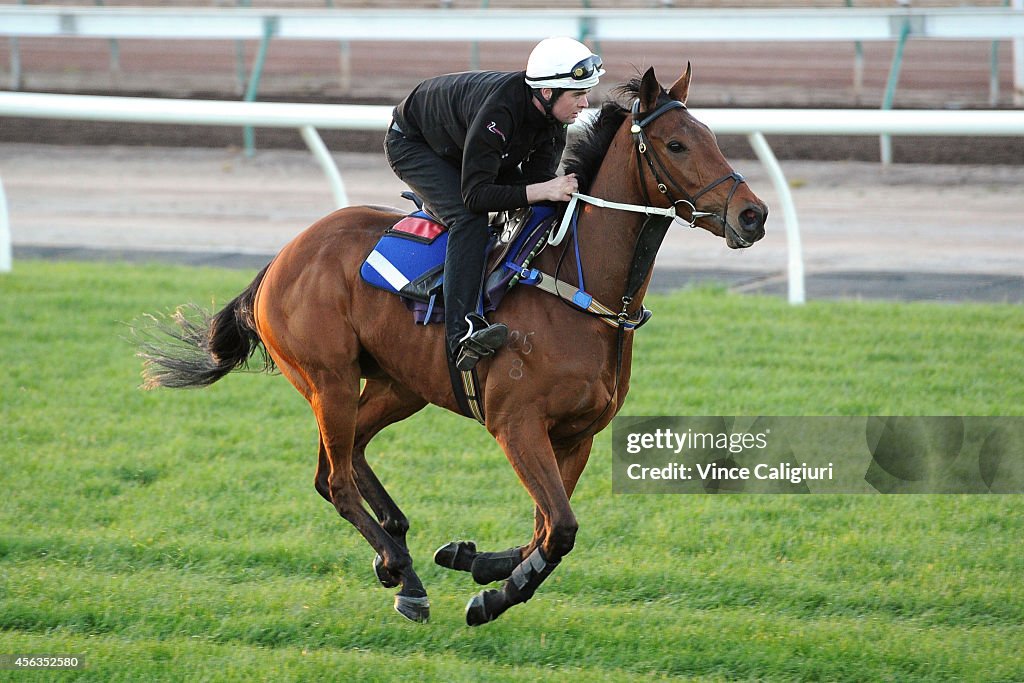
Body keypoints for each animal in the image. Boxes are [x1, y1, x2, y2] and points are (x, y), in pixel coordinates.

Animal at [142, 66, 770, 626]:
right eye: (676, 144)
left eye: (713, 138)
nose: (754, 215)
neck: (578, 291)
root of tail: (280, 258)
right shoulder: (516, 424)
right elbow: (561, 529)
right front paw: (492, 597)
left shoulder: (577, 436)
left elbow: (545, 529)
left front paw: (477, 562)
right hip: (328, 379)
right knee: (336, 480)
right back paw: (403, 572)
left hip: (399, 386)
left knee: (347, 457)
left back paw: (399, 555)